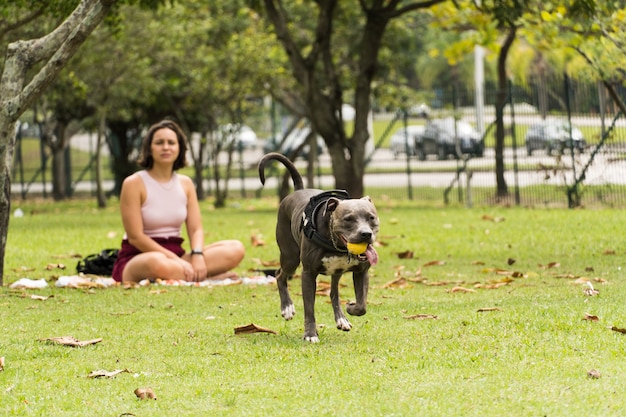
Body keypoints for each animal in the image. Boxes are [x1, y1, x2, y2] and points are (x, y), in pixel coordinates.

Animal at [258, 153, 378, 342]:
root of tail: (298, 190)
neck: (336, 244)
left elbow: (362, 304)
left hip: (335, 271)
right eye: (348, 219)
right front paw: (310, 334)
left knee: (333, 292)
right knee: (279, 275)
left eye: (371, 217)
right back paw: (287, 307)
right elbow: (309, 309)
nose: (366, 234)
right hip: (290, 257)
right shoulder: (308, 274)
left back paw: (341, 319)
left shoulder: (361, 271)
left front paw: (351, 307)